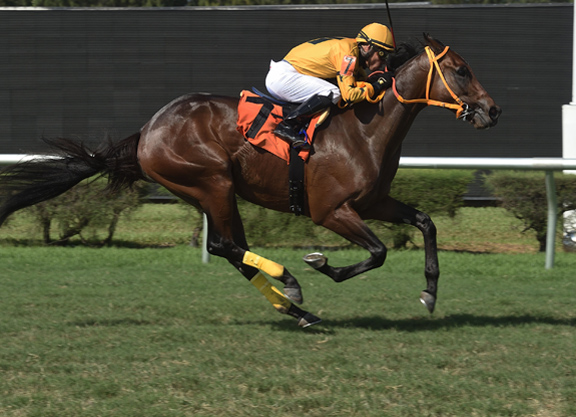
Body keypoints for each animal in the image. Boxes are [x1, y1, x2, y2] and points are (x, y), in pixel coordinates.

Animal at [0, 35, 500, 324]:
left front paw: (430, 293)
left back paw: (297, 310)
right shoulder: (330, 210)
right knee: (225, 245)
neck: (364, 128)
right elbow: (377, 253)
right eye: (461, 70)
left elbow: (425, 223)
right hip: (212, 182)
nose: (492, 110)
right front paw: (320, 263)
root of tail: (147, 131)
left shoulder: (374, 201)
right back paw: (291, 284)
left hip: (214, 192)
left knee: (233, 251)